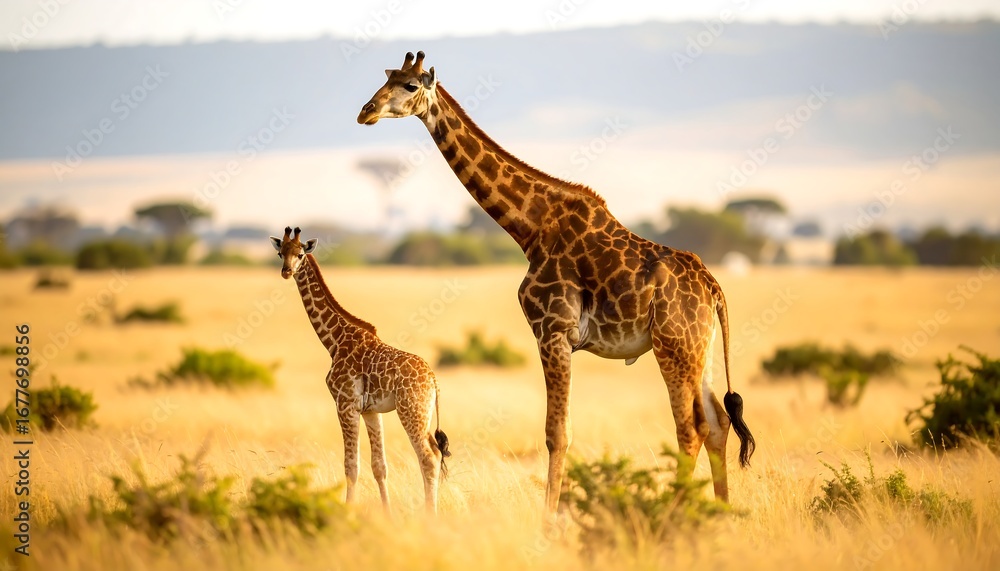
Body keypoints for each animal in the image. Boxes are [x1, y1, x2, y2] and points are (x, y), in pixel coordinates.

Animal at [270, 226, 450, 513]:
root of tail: (433, 380)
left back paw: (430, 515)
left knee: (428, 457)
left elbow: (351, 466)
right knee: (432, 453)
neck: (334, 341)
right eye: (280, 253)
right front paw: (387, 514)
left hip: (411, 412)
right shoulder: (370, 411)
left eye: (300, 254)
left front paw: (348, 512)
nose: (286, 271)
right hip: (422, 414)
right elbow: (379, 467)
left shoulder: (345, 405)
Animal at [357, 52, 756, 512]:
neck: (532, 227)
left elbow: (556, 434)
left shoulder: (553, 331)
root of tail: (713, 287)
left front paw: (548, 520)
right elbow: (560, 432)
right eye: (388, 78)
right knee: (719, 422)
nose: (365, 111)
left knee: (691, 428)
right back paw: (720, 512)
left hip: (673, 348)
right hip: (699, 350)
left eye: (410, 86)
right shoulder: (557, 336)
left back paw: (676, 512)